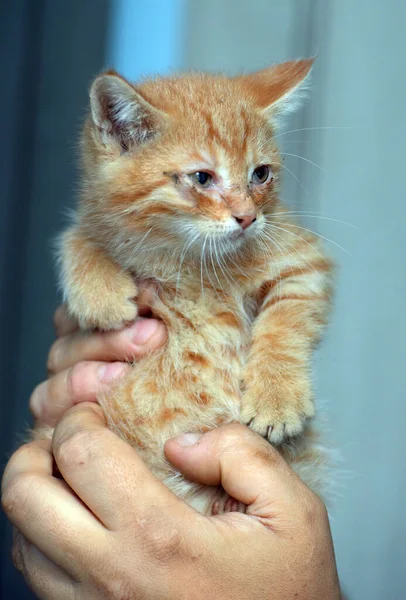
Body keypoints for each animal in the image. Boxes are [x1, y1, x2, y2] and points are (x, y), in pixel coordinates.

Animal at [54, 58, 334, 512]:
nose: (247, 217)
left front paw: (277, 398)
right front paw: (100, 293)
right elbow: (76, 234)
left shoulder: (301, 259)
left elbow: (288, 318)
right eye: (202, 178)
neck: (188, 257)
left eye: (261, 174)